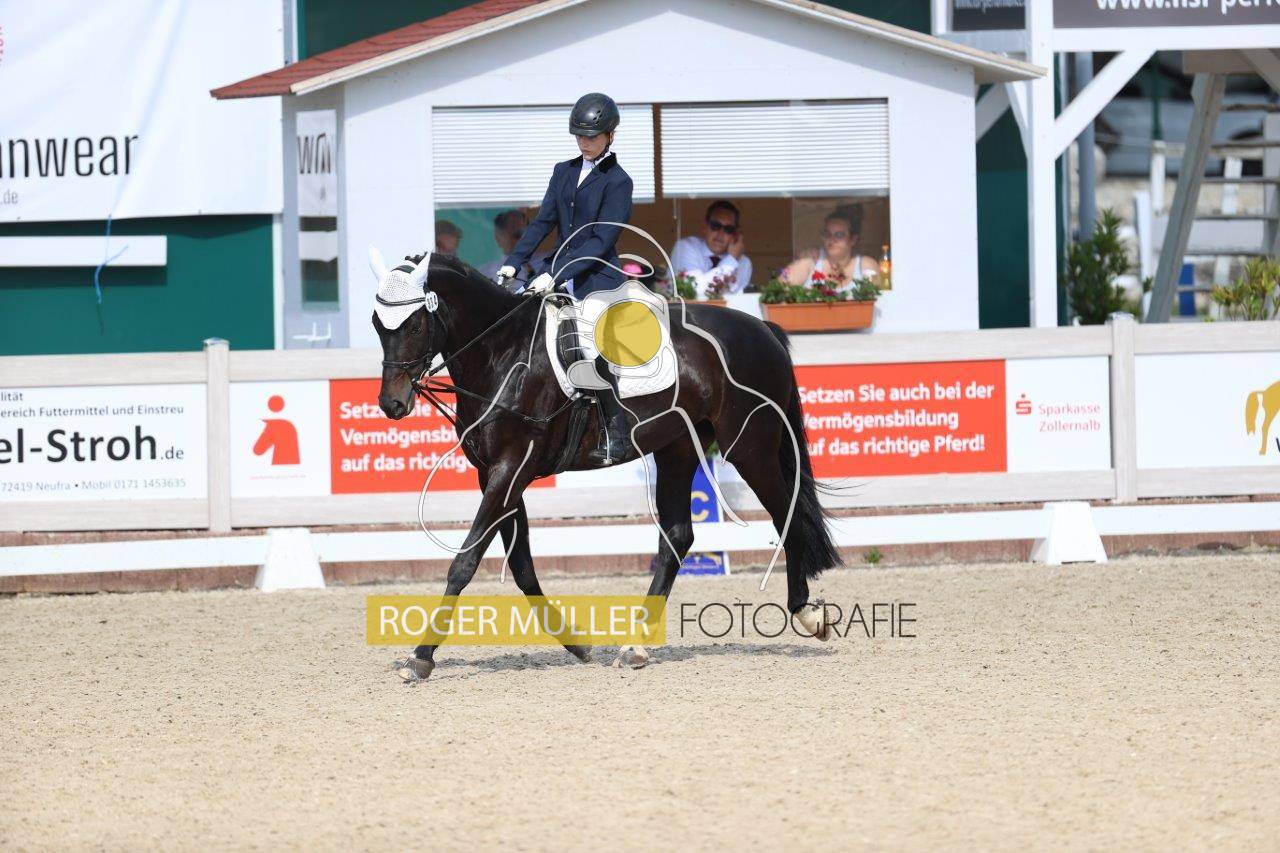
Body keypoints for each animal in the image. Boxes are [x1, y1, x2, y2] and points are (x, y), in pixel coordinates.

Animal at [372, 249, 841, 681]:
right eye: (378, 325)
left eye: (413, 325)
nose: (392, 404)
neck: (501, 352)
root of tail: (761, 329)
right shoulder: (497, 473)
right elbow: (522, 567)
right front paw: (577, 644)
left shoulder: (511, 469)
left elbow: (465, 561)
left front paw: (421, 657)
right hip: (678, 448)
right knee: (677, 537)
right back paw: (635, 646)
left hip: (749, 447)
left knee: (786, 516)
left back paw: (807, 614)